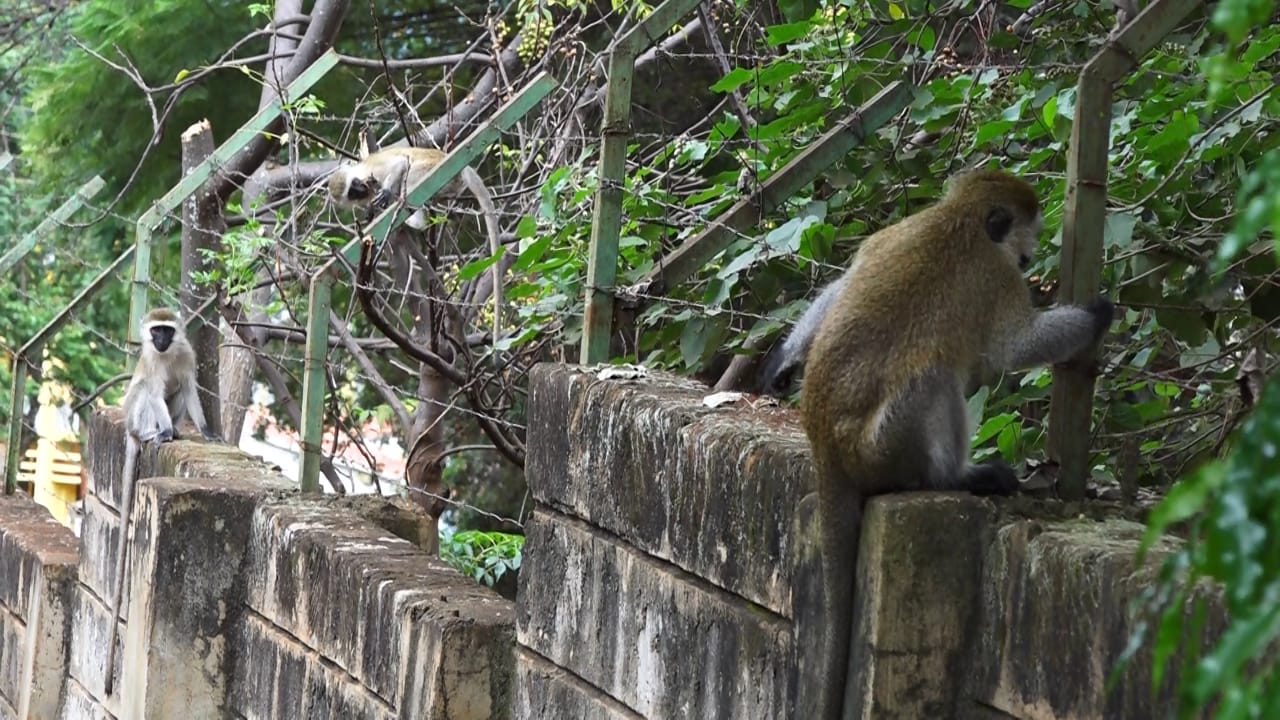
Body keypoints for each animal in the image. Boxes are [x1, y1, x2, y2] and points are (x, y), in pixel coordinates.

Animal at [104, 308, 217, 696]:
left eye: (168, 330)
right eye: (156, 332)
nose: (162, 341)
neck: (166, 355)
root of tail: (128, 430)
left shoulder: (186, 354)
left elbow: (190, 388)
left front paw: (208, 431)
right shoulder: (152, 361)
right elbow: (152, 390)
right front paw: (165, 430)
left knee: (178, 389)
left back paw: (178, 430)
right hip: (134, 418)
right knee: (144, 392)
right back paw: (157, 432)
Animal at [327, 144, 505, 356]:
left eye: (355, 184)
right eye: (352, 193)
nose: (360, 189)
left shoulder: (373, 173)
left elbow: (400, 164)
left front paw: (386, 192)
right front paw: (371, 211)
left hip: (428, 170)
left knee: (410, 176)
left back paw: (414, 220)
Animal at [794, 169, 1114, 720]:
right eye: (1027, 235)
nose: (1029, 255)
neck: (956, 218)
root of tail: (824, 448)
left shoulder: (893, 233)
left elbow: (844, 283)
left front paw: (784, 352)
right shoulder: (997, 275)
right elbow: (1016, 346)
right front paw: (1097, 313)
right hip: (881, 449)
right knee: (934, 376)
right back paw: (957, 477)